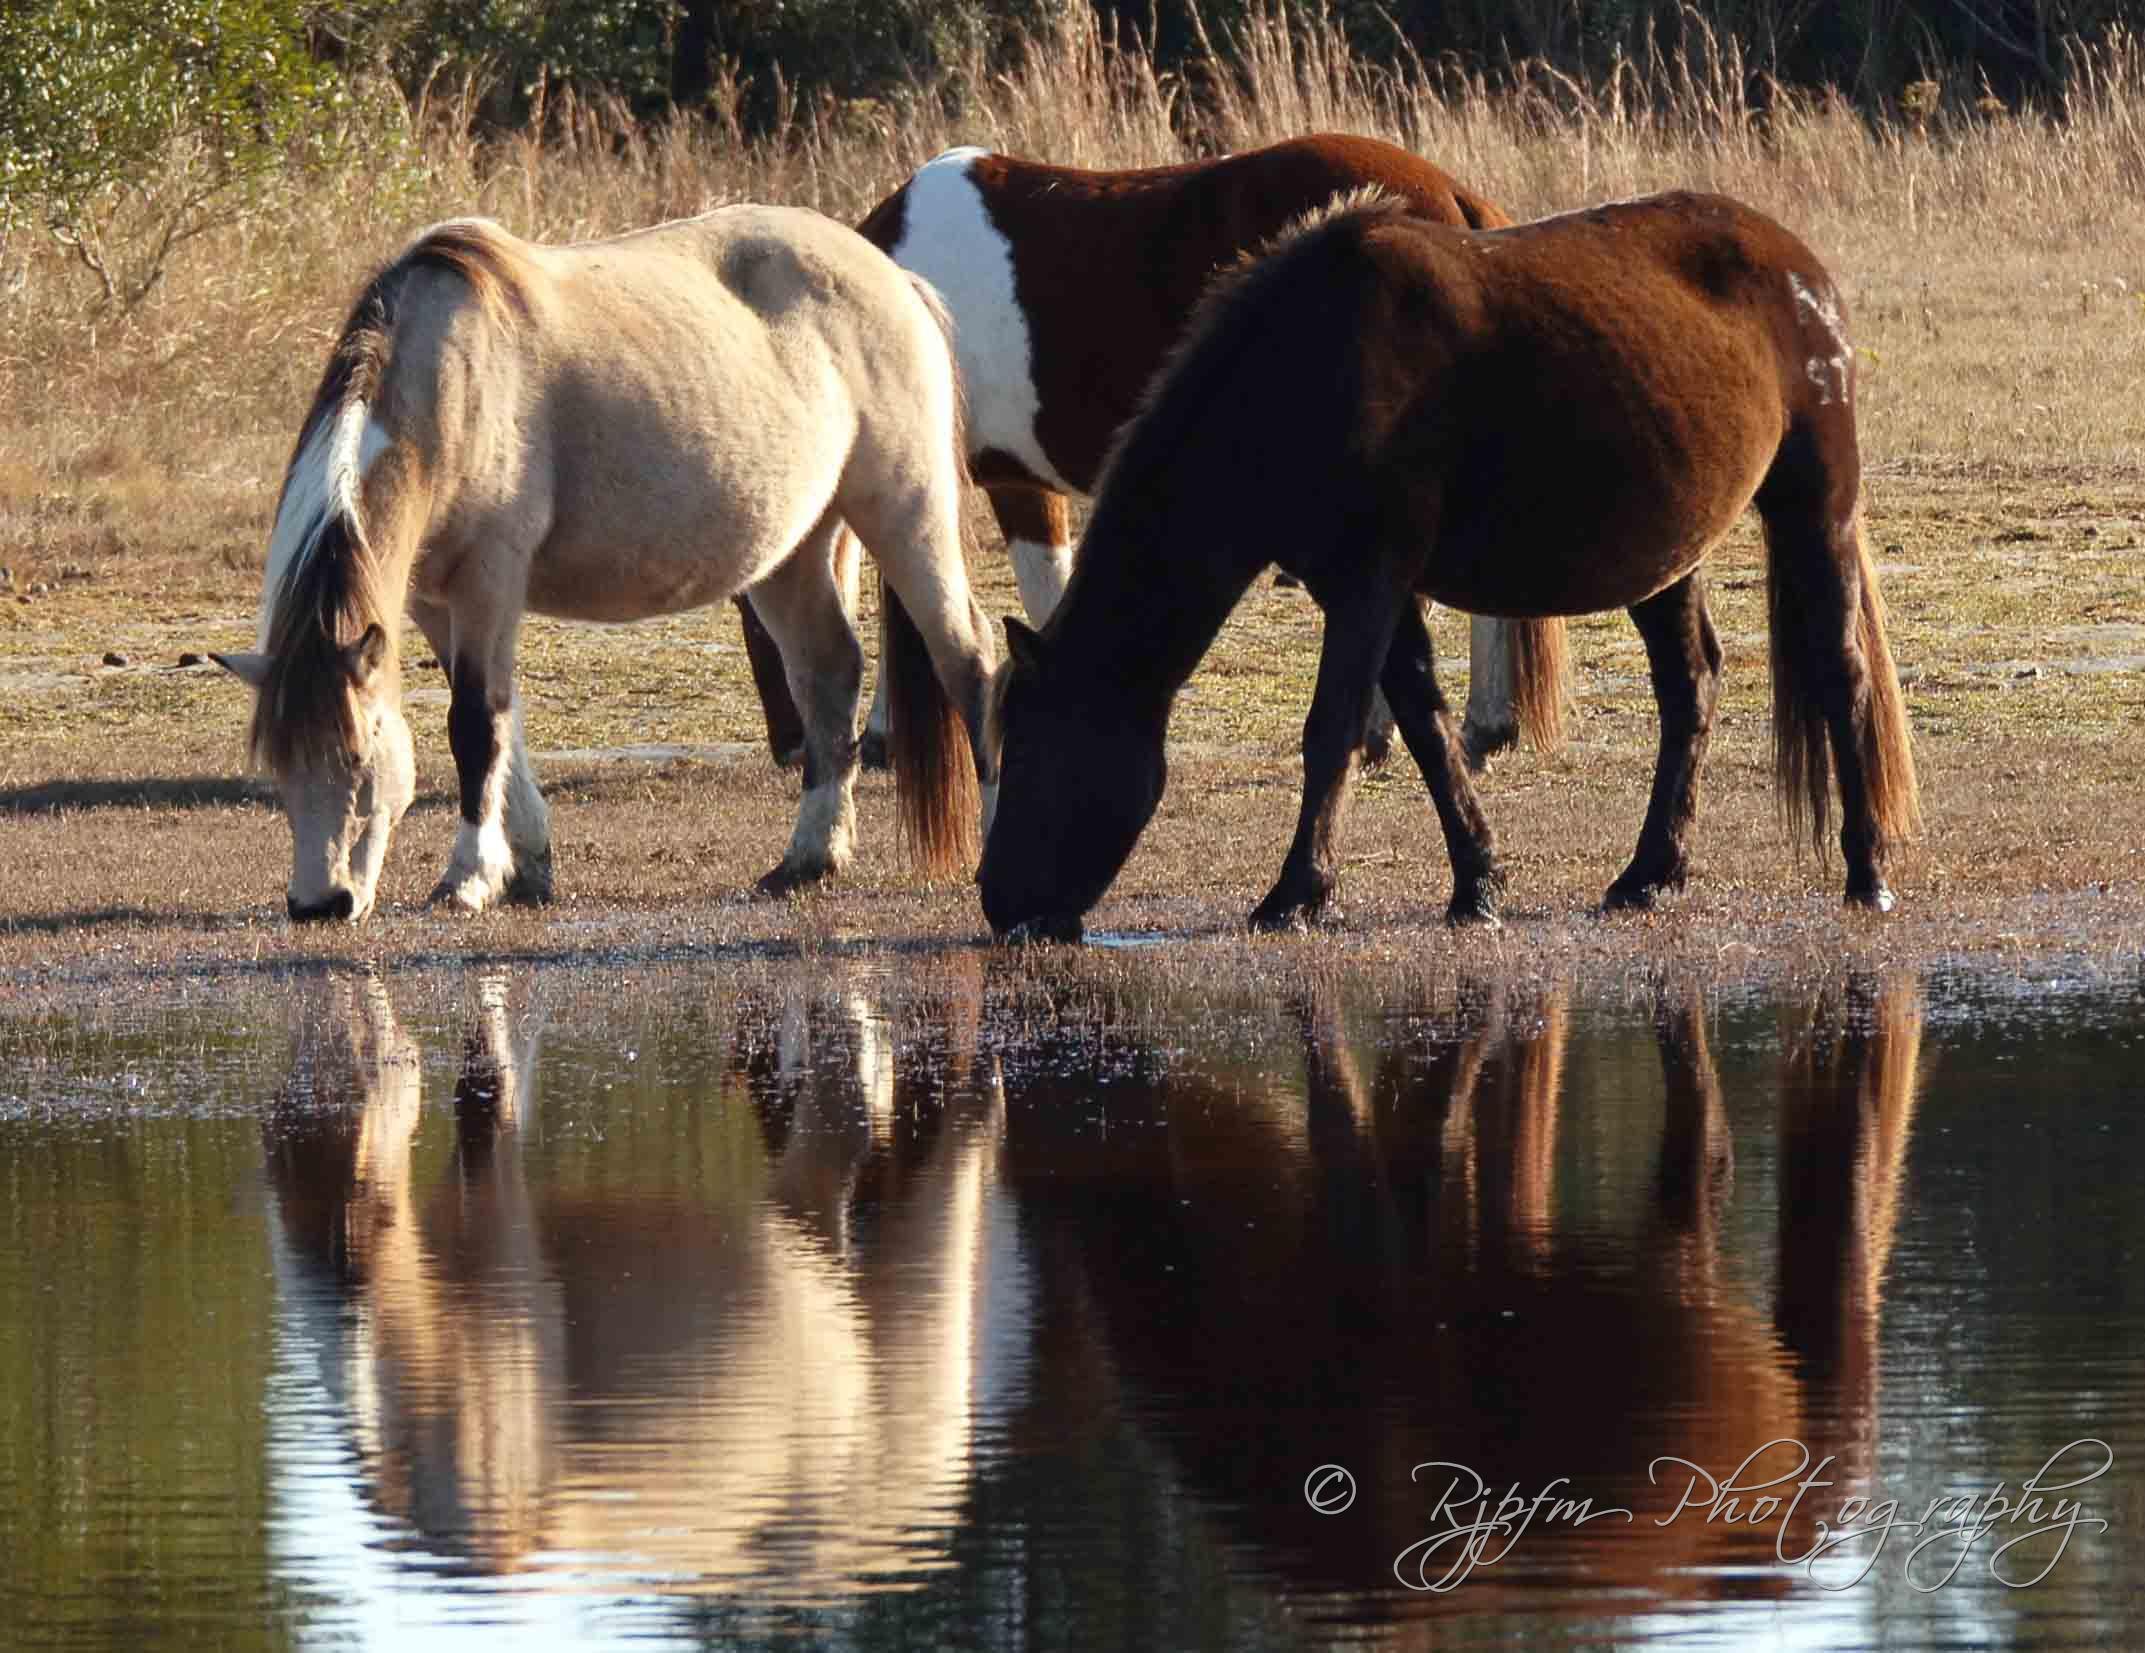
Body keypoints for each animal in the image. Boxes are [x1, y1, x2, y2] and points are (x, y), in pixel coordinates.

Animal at [213, 203, 999, 917]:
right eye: (278, 762)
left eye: (357, 756)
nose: (320, 902)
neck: (450, 384)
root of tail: (895, 278)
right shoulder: (435, 600)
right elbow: (502, 723)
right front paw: (524, 868)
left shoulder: (488, 582)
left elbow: (475, 725)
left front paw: (467, 879)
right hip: (793, 553)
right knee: (829, 673)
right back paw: (808, 859)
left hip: (905, 512)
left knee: (968, 659)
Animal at [982, 190, 1921, 943]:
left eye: (1031, 748)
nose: (999, 903)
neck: (1297, 374)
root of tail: (1799, 267)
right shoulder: (1369, 586)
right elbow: (1427, 730)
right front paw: (1476, 883)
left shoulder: (1368, 580)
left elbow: (1330, 730)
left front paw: (1295, 893)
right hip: (1667, 555)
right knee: (1690, 686)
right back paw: (1650, 872)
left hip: (1813, 507)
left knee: (1841, 675)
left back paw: (1865, 871)